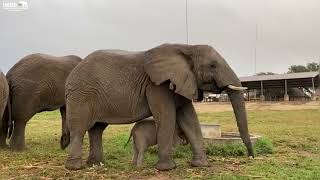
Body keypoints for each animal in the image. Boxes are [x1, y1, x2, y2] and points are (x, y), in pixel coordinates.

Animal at [62, 43, 252, 170]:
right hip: (81, 95)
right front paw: (167, 168)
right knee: (80, 128)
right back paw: (75, 167)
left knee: (97, 129)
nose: (251, 156)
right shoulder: (156, 86)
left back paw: (96, 164)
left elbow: (189, 118)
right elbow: (166, 115)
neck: (187, 47)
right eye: (212, 65)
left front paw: (201, 165)